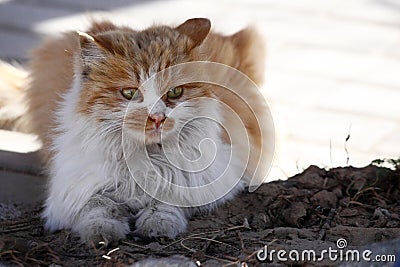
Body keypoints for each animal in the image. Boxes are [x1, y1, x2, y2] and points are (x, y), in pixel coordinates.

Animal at [0, 17, 274, 246]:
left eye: (175, 92)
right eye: (129, 93)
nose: (157, 118)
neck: (145, 158)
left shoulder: (212, 179)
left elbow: (167, 198)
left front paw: (157, 225)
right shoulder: (76, 188)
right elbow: (97, 206)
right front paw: (102, 232)